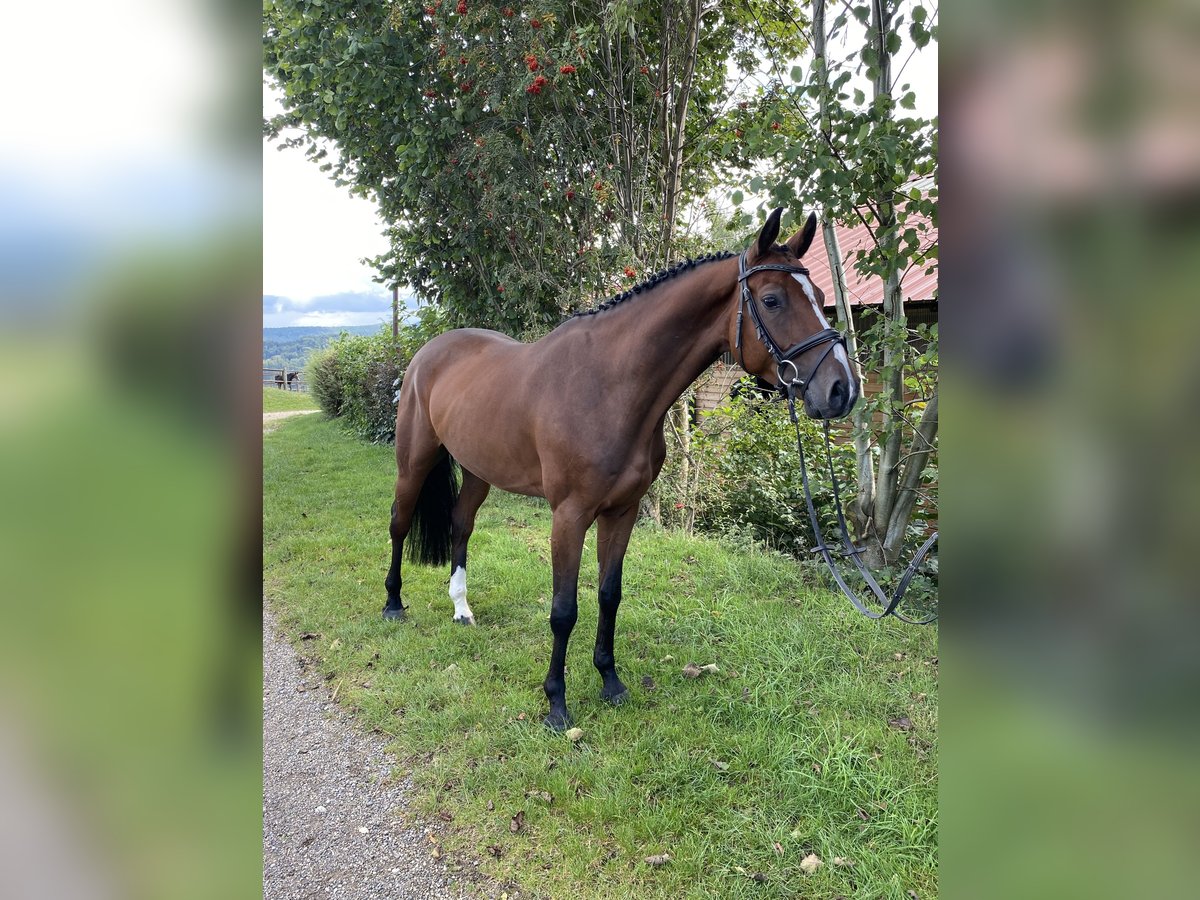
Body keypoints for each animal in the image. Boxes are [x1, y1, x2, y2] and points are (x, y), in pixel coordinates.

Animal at [381, 210, 854, 734]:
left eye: (820, 296)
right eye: (771, 300)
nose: (841, 389)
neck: (611, 387)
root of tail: (429, 352)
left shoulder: (621, 512)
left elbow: (609, 595)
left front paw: (610, 682)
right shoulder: (569, 516)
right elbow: (563, 610)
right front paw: (557, 703)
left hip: (478, 470)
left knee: (461, 525)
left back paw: (461, 608)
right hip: (414, 461)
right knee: (399, 523)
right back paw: (393, 605)